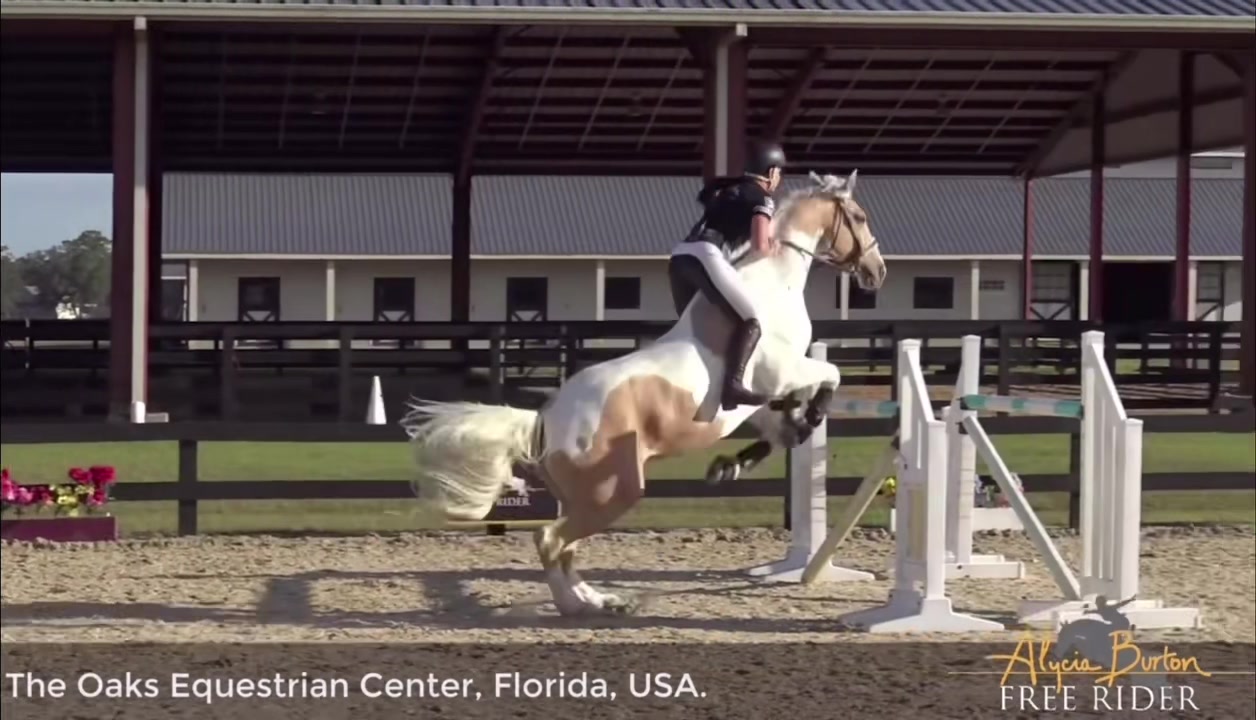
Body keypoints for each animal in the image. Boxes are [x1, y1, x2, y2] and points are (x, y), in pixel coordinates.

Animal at [400, 170, 886, 616]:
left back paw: (599, 599)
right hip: (612, 492)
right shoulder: (783, 375)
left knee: (565, 546)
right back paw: (577, 605)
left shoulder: (761, 401)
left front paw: (732, 464)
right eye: (860, 217)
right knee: (550, 538)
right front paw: (807, 423)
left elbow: (779, 428)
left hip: (588, 495)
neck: (774, 282)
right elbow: (830, 376)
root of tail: (546, 419)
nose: (876, 272)